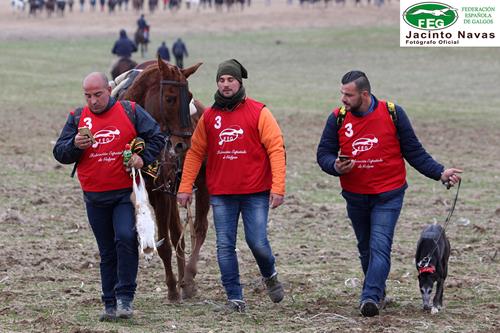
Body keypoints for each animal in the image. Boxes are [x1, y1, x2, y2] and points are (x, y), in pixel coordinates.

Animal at [121, 57, 209, 300]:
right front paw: (173, 285)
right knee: (180, 233)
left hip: (202, 185)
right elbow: (170, 238)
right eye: (170, 98)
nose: (184, 144)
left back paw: (188, 278)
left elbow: (165, 243)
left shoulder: (161, 193)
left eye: (188, 96)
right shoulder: (156, 193)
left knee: (200, 229)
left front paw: (172, 288)